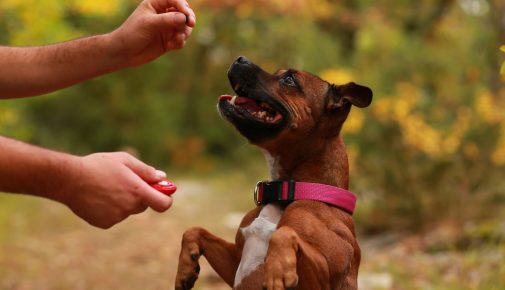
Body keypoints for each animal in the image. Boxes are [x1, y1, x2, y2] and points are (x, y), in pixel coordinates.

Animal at [173, 57, 370, 290]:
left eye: (289, 79)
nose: (241, 59)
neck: (286, 192)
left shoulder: (325, 277)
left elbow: (284, 233)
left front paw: (277, 269)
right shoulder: (234, 261)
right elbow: (195, 230)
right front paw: (185, 268)